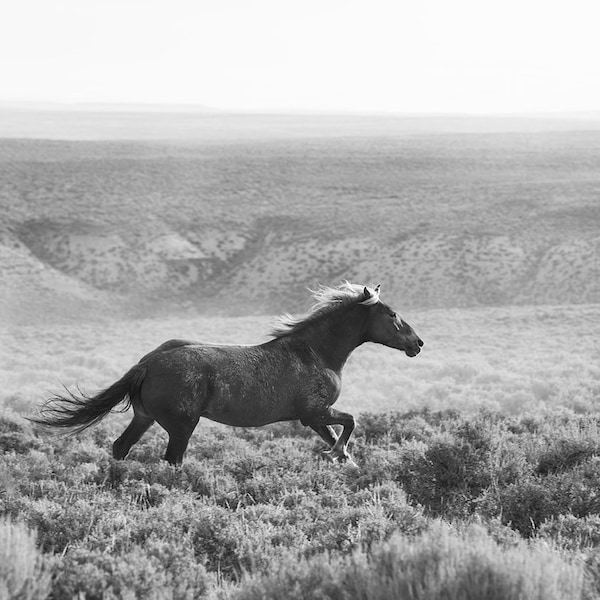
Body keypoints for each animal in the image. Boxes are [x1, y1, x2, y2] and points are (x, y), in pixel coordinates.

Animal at [32, 284, 424, 466]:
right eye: (391, 314)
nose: (417, 344)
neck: (317, 352)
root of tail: (148, 363)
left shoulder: (314, 419)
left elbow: (341, 436)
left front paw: (342, 459)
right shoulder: (314, 414)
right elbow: (350, 422)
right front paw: (337, 453)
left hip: (144, 418)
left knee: (120, 447)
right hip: (182, 426)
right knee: (172, 459)